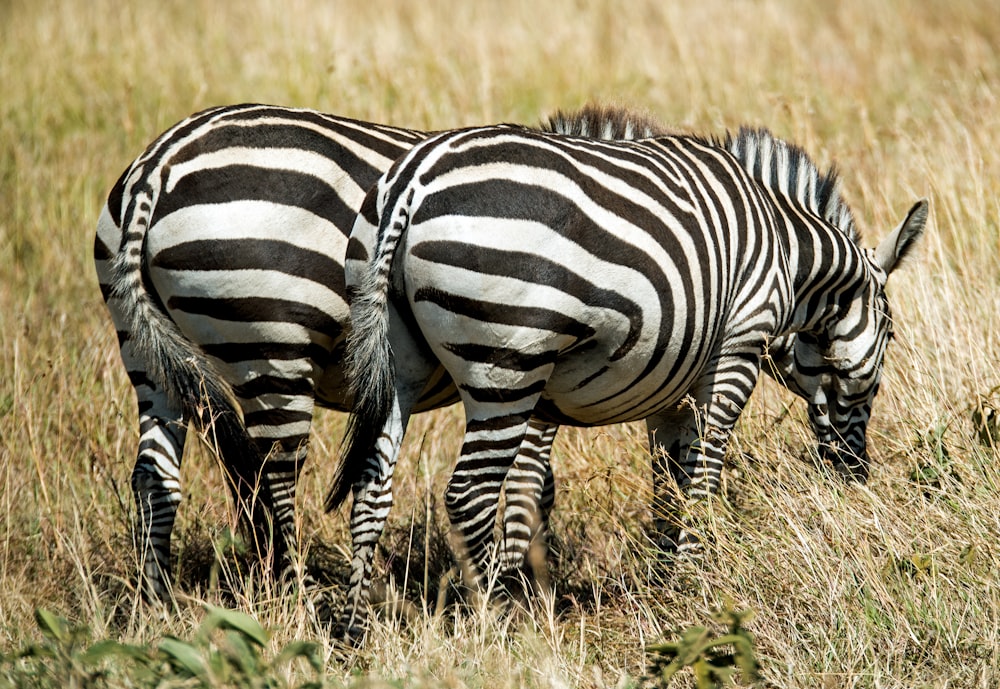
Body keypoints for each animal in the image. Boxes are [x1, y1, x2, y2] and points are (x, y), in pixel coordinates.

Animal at [95, 101, 672, 600]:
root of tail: (159, 162)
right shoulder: (527, 362)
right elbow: (532, 484)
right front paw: (523, 582)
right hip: (270, 340)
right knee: (273, 476)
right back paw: (294, 593)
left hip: (145, 351)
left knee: (153, 478)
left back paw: (157, 601)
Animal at [328, 119, 928, 640]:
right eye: (892, 336)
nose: (856, 473)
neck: (786, 254)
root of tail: (411, 181)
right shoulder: (736, 348)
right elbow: (706, 471)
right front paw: (698, 575)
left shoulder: (672, 383)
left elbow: (671, 479)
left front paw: (667, 578)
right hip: (508, 363)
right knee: (469, 492)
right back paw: (502, 621)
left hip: (398, 360)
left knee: (373, 483)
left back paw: (358, 629)